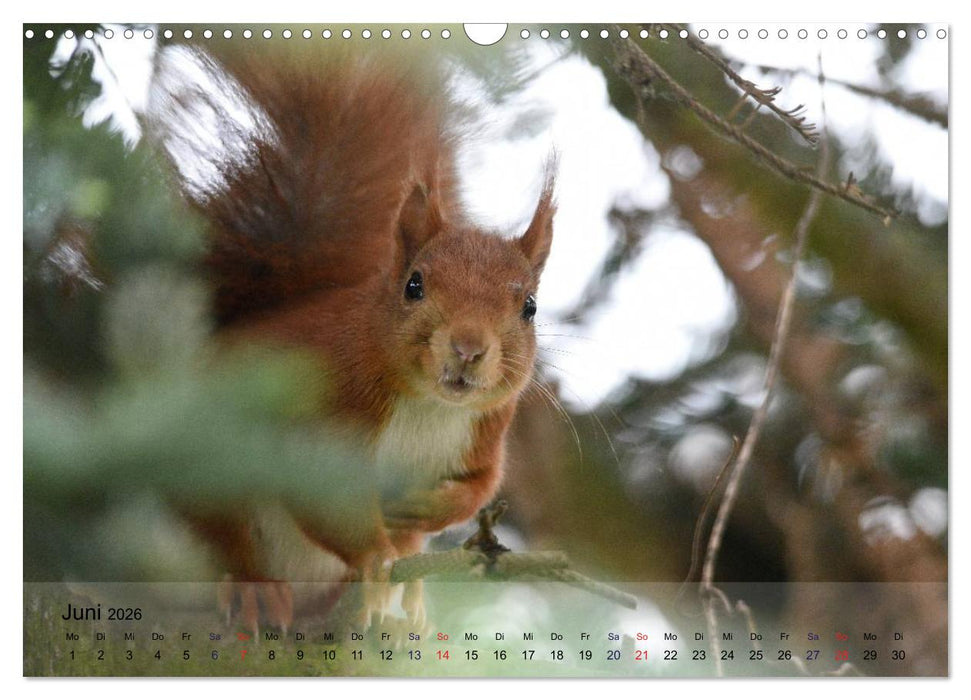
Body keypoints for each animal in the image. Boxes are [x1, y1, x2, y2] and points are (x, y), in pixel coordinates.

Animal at [149, 41, 555, 632]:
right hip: (213, 471)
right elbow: (322, 499)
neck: (427, 405)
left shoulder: (485, 435)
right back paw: (255, 587)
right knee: (224, 535)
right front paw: (375, 560)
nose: (468, 349)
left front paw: (426, 512)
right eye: (414, 284)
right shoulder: (325, 412)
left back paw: (405, 605)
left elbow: (479, 488)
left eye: (529, 307)